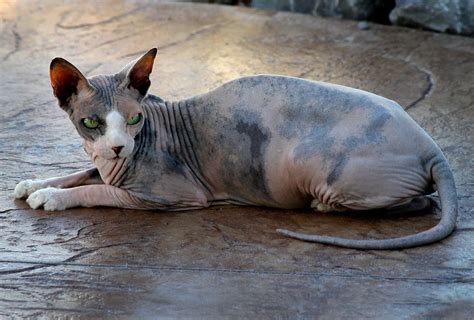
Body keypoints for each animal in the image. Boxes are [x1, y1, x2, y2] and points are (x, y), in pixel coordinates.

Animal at [15, 48, 460, 250]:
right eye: (91, 123)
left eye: (134, 118)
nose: (121, 146)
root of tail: (431, 147)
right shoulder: (105, 161)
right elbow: (83, 171)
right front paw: (34, 182)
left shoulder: (169, 195)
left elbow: (97, 189)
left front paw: (51, 197)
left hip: (316, 165)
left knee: (421, 202)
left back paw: (323, 207)